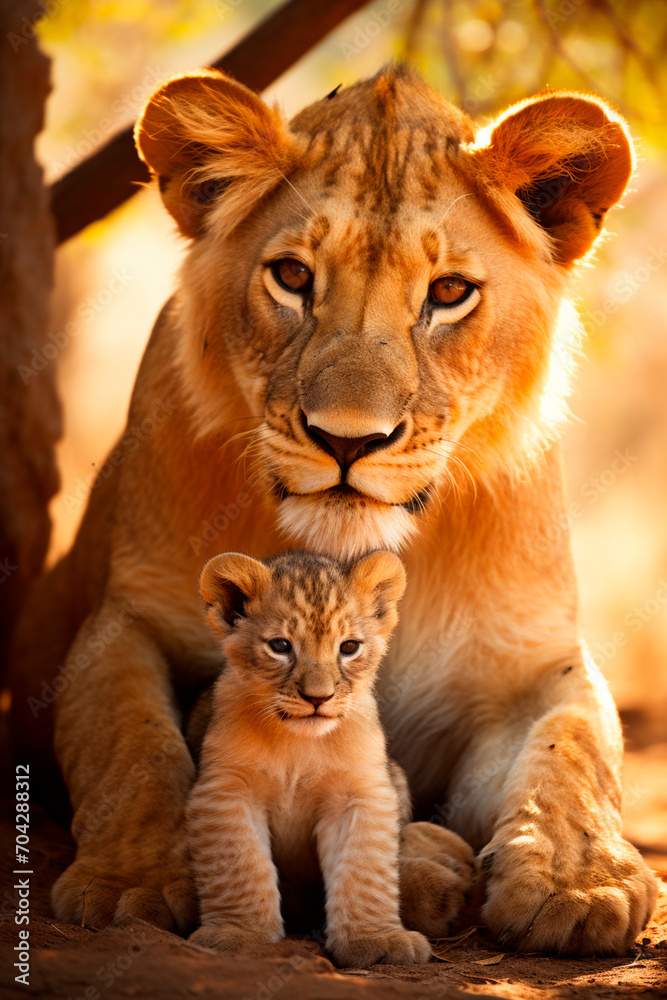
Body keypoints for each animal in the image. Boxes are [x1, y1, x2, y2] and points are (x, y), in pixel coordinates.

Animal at [10, 64, 658, 955]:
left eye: (448, 293)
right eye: (292, 277)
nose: (348, 439)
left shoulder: (529, 664)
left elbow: (577, 749)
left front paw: (580, 882)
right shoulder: (128, 617)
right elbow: (132, 739)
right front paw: (131, 881)